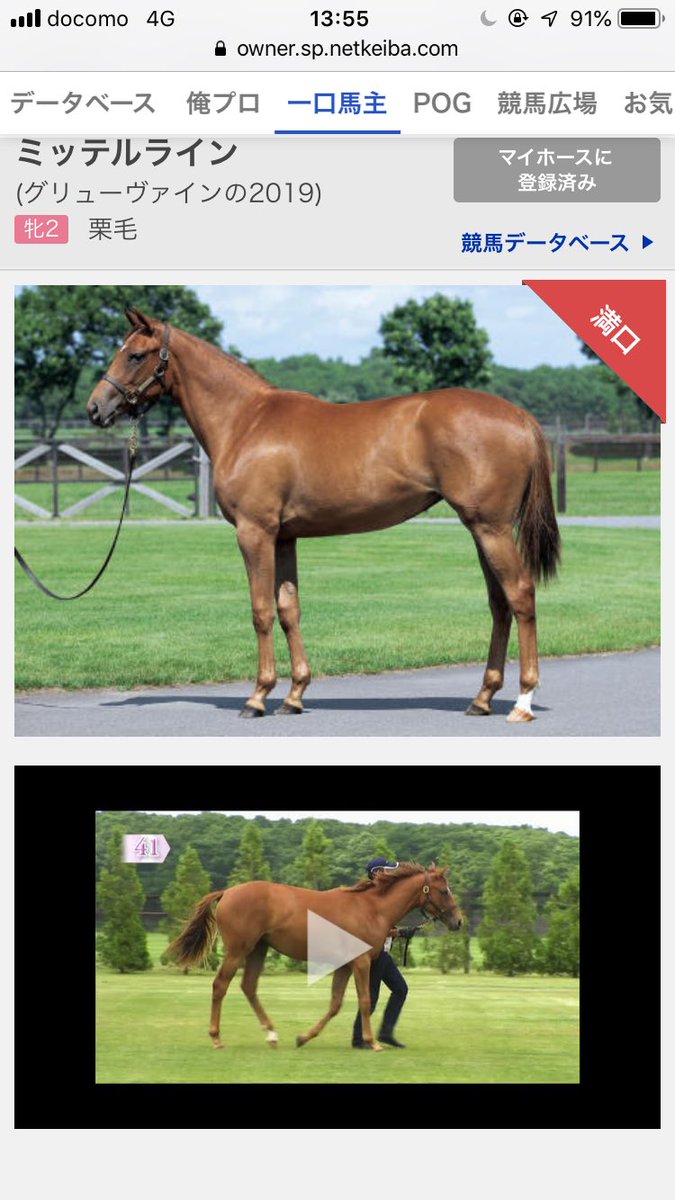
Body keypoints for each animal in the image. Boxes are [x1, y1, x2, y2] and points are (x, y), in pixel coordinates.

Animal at [87, 307, 561, 723]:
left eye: (134, 355)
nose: (95, 408)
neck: (246, 421)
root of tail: (520, 416)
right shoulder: (284, 537)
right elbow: (288, 609)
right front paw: (294, 695)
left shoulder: (255, 533)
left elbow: (261, 611)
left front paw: (257, 697)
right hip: (481, 529)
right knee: (499, 604)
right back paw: (482, 698)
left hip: (491, 528)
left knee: (520, 594)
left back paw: (522, 701)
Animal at [167, 863, 462, 1051]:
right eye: (444, 890)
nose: (458, 921)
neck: (371, 908)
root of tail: (227, 892)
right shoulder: (361, 962)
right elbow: (365, 1001)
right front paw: (373, 1042)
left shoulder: (345, 965)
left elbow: (335, 1004)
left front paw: (304, 1037)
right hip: (239, 949)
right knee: (220, 986)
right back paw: (217, 1038)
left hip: (258, 949)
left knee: (248, 986)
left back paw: (272, 1035)